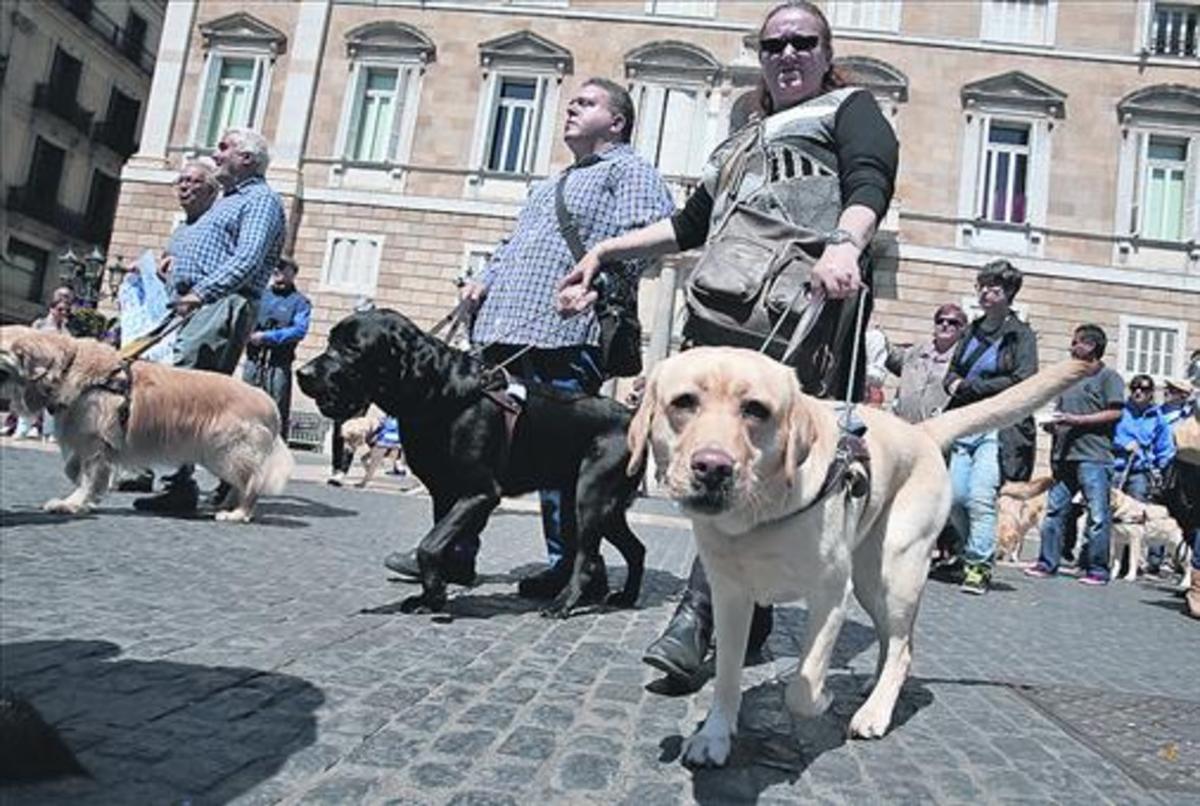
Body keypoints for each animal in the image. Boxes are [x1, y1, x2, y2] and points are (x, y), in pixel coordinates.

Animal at [1, 326, 292, 522]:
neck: (69, 366)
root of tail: (270, 405)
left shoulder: (96, 442)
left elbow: (88, 476)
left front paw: (73, 504)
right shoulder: (89, 442)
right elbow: (74, 469)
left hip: (227, 452)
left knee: (252, 483)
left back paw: (239, 513)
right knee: (239, 483)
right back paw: (225, 507)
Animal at [298, 309, 648, 618]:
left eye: (353, 348)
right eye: (330, 341)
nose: (303, 373)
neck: (441, 392)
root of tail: (630, 416)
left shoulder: (480, 492)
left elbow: (430, 545)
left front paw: (434, 594)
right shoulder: (444, 493)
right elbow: (440, 543)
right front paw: (432, 597)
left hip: (590, 497)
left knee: (587, 559)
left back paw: (563, 604)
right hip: (597, 506)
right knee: (635, 550)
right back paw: (625, 597)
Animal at [633, 345, 1094, 762]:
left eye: (756, 410)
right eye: (684, 402)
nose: (713, 467)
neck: (759, 518)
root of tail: (921, 433)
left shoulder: (830, 596)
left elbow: (803, 686)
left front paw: (820, 698)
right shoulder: (731, 597)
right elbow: (726, 676)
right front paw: (713, 736)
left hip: (895, 572)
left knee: (903, 647)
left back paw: (874, 713)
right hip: (872, 586)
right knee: (897, 643)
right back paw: (877, 691)